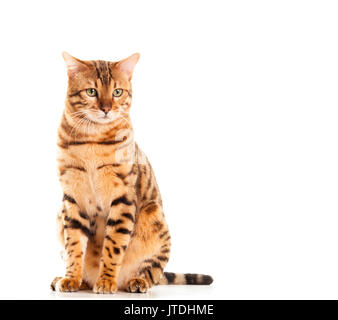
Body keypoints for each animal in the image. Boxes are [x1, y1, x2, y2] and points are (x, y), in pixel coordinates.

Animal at [51, 53, 213, 296]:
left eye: (118, 92)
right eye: (91, 91)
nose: (106, 108)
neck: (92, 139)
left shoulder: (123, 197)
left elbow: (113, 245)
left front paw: (106, 281)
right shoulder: (72, 199)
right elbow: (74, 246)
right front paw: (71, 278)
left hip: (155, 217)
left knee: (152, 271)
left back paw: (135, 281)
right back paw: (76, 280)